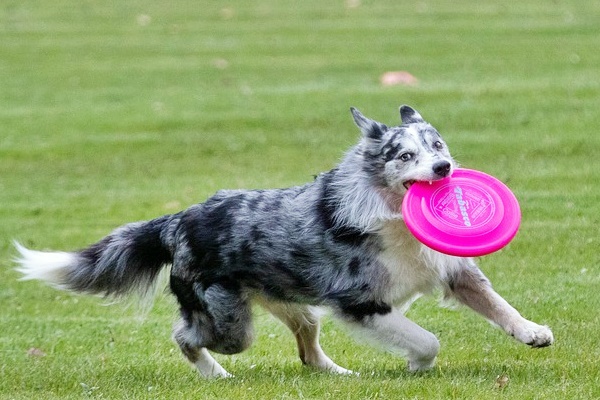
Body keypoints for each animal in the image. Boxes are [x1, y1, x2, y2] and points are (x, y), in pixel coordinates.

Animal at [14, 104, 552, 378]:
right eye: (404, 155)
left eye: (437, 145)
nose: (443, 169)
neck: (389, 213)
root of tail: (179, 220)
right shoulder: (360, 302)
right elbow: (427, 339)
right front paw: (417, 364)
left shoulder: (453, 270)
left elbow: (497, 304)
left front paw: (532, 332)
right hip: (232, 324)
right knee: (187, 336)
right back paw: (215, 376)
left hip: (298, 306)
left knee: (307, 349)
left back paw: (338, 377)